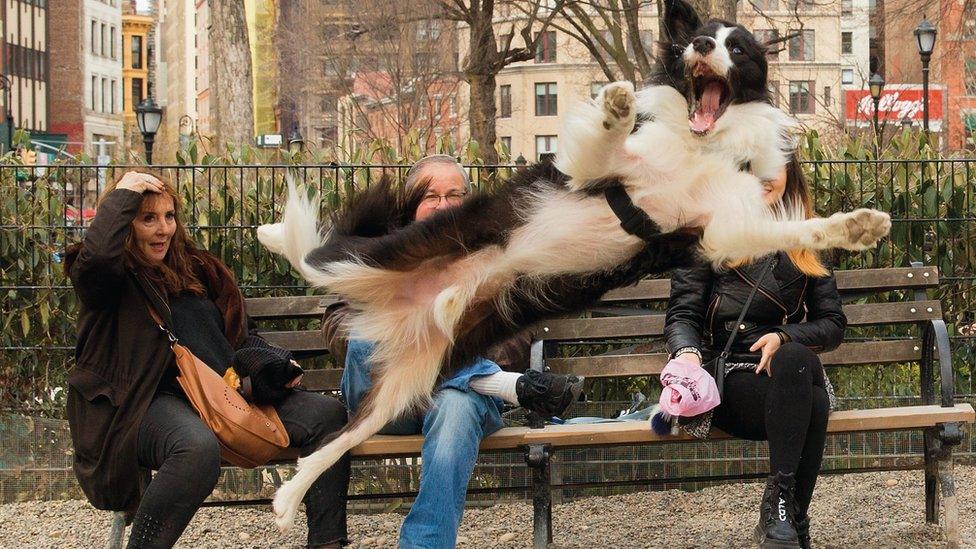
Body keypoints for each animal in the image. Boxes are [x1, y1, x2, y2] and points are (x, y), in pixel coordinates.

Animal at [258, 0, 892, 528]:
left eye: (737, 48)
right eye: (703, 38)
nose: (701, 47)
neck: (699, 144)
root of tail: (397, 307)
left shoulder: (720, 230)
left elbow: (792, 229)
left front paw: (855, 226)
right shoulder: (600, 173)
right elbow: (607, 141)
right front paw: (616, 104)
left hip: (409, 381)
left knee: (339, 439)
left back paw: (288, 497)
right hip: (383, 253)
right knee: (315, 260)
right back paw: (275, 232)